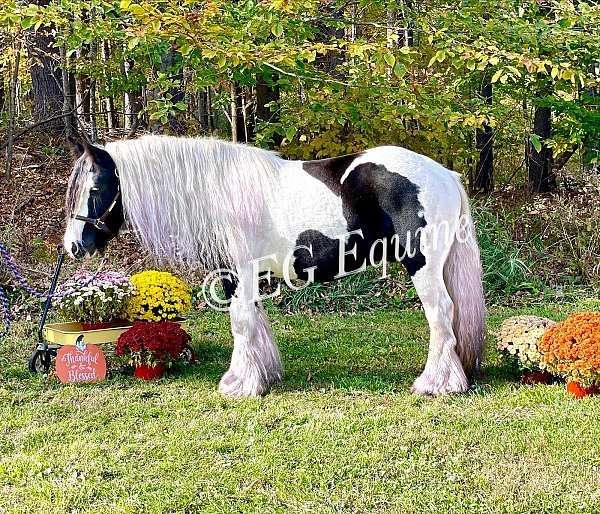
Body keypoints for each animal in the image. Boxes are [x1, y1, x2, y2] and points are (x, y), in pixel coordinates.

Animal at [63, 136, 486, 396]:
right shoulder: (243, 277)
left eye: (96, 189)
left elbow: (241, 323)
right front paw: (260, 376)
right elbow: (254, 321)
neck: (217, 192)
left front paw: (240, 385)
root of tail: (444, 174)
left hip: (422, 265)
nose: (73, 246)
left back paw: (435, 383)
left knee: (440, 313)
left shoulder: (238, 273)